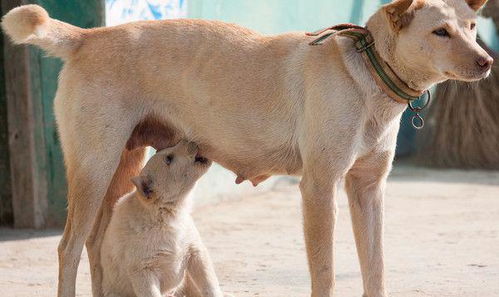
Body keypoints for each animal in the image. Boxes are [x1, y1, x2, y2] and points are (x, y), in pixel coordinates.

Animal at [100, 140, 222, 296]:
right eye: (168, 159)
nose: (189, 141)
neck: (169, 215)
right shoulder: (143, 269)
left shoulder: (196, 251)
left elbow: (209, 282)